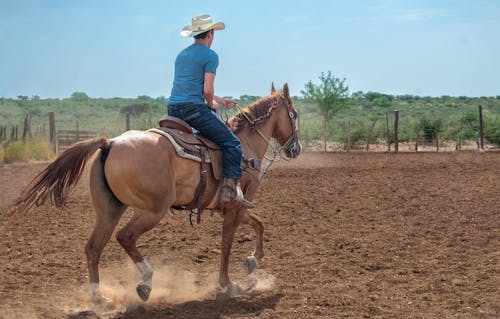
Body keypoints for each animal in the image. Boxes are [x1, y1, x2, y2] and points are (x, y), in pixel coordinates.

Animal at [9, 83, 300, 308]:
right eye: (294, 113)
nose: (295, 148)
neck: (244, 144)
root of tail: (110, 143)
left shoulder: (239, 208)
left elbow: (259, 224)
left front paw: (252, 261)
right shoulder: (233, 208)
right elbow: (227, 244)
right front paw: (229, 284)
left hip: (110, 210)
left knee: (93, 247)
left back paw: (100, 299)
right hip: (152, 210)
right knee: (125, 237)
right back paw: (146, 283)